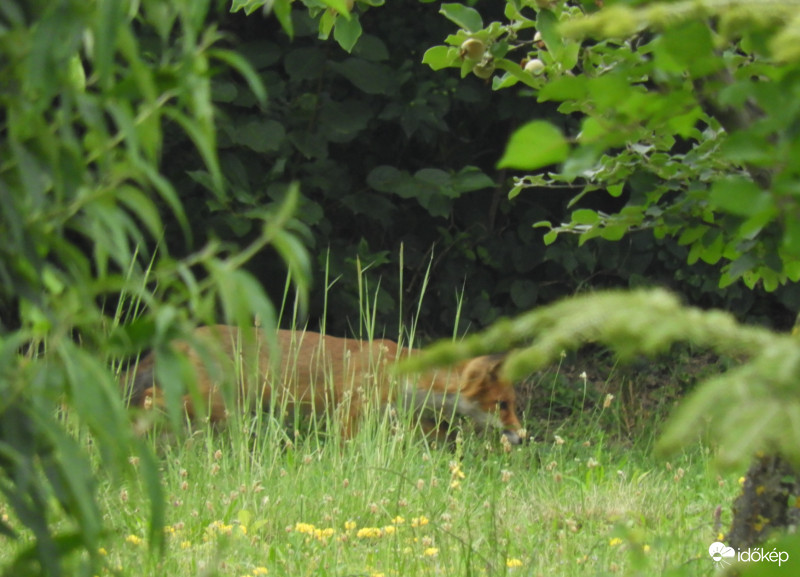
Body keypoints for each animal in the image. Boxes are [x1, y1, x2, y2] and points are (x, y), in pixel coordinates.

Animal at [123, 326, 524, 444]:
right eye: (503, 404)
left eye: (514, 405)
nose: (522, 437)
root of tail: (188, 333)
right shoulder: (351, 411)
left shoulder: (397, 417)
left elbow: (435, 433)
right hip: (213, 404)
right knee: (148, 399)